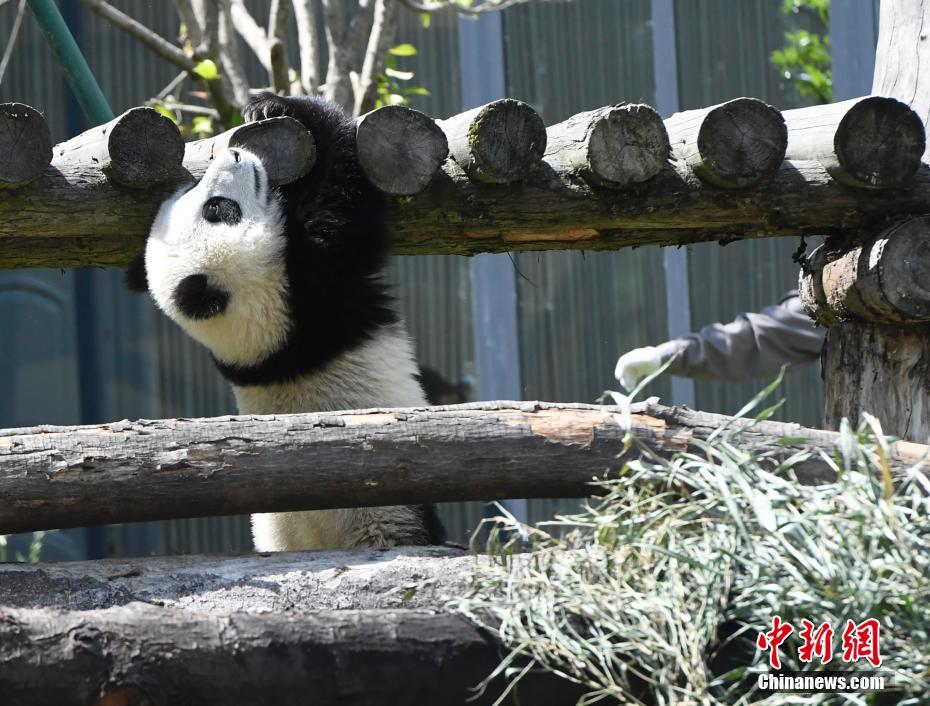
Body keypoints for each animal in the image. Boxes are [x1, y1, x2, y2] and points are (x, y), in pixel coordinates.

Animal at [129, 92, 444, 552]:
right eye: (218, 209)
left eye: (197, 196)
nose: (235, 154)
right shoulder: (316, 286)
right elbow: (343, 188)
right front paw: (285, 106)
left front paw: (261, 107)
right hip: (393, 506)